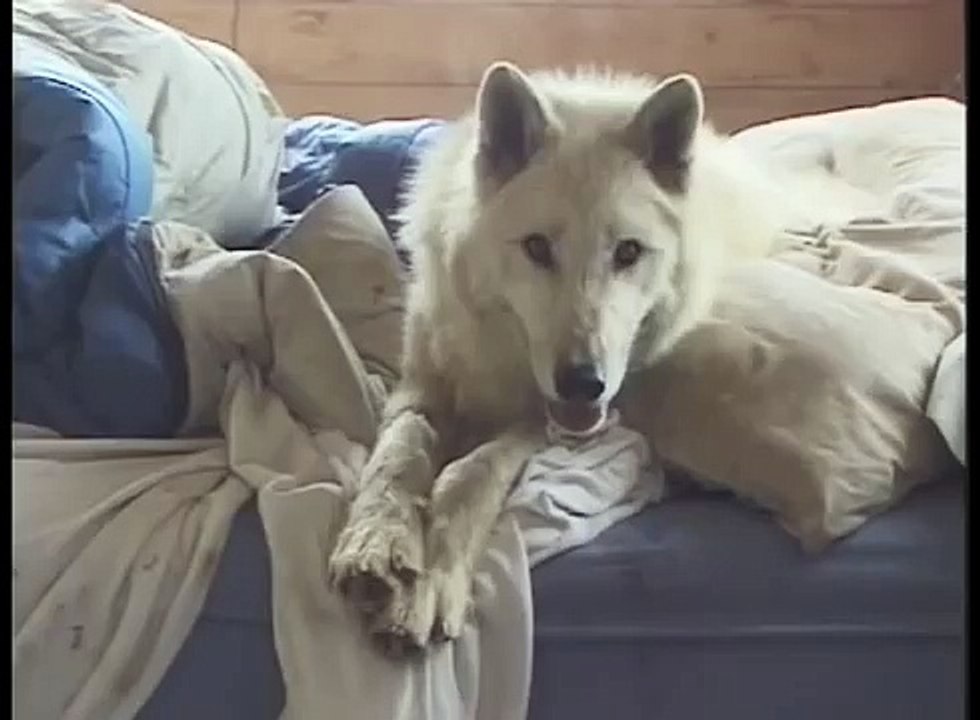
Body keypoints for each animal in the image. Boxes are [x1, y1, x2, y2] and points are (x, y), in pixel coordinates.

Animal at [328, 62, 794, 656]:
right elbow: (399, 455)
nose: (582, 383)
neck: (501, 362)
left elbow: (468, 474)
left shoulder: (537, 425)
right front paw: (375, 539)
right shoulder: (417, 391)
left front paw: (430, 584)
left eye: (628, 252)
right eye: (536, 248)